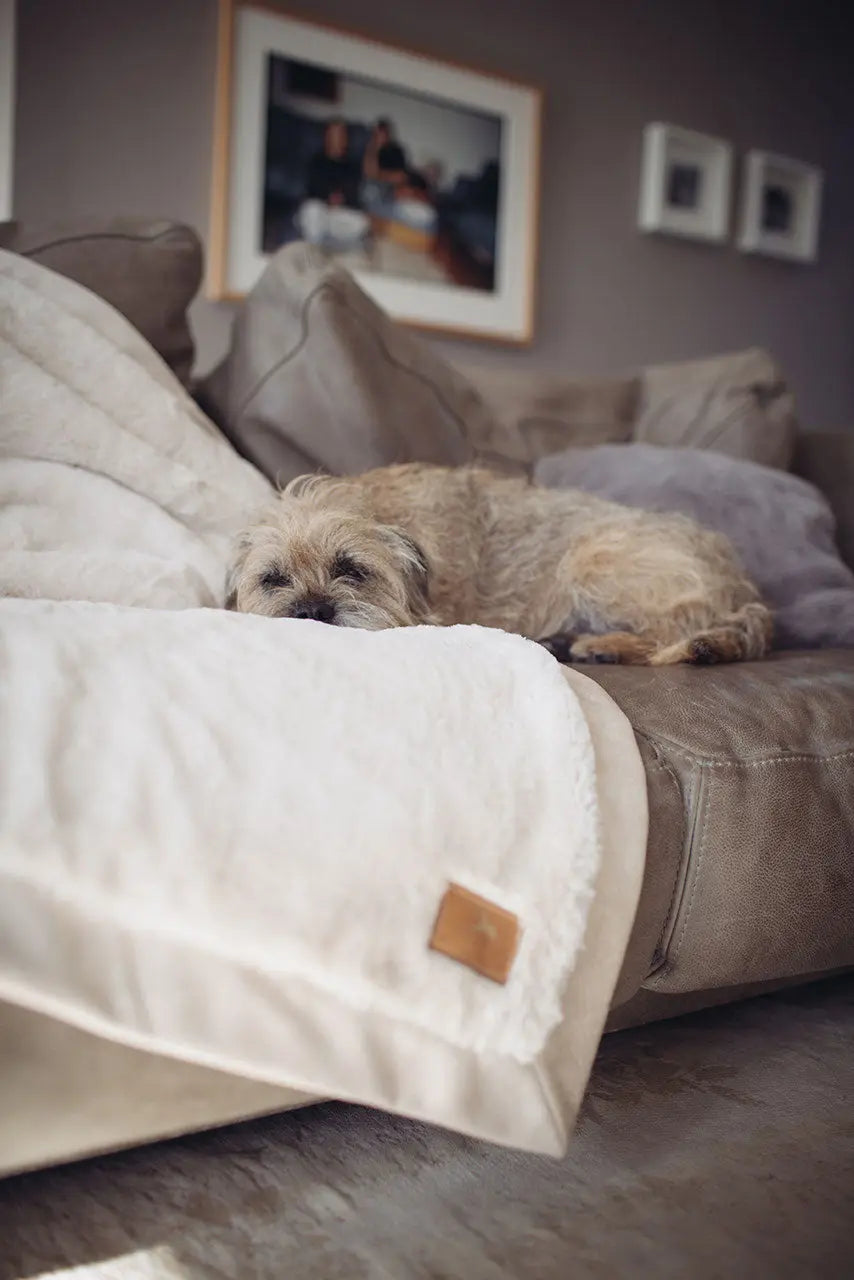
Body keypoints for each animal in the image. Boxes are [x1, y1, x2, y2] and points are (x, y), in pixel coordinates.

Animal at [224, 463, 773, 665]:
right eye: (273, 580)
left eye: (351, 570)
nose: (311, 612)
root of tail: (741, 584)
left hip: (592, 559)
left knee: (678, 627)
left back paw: (604, 646)